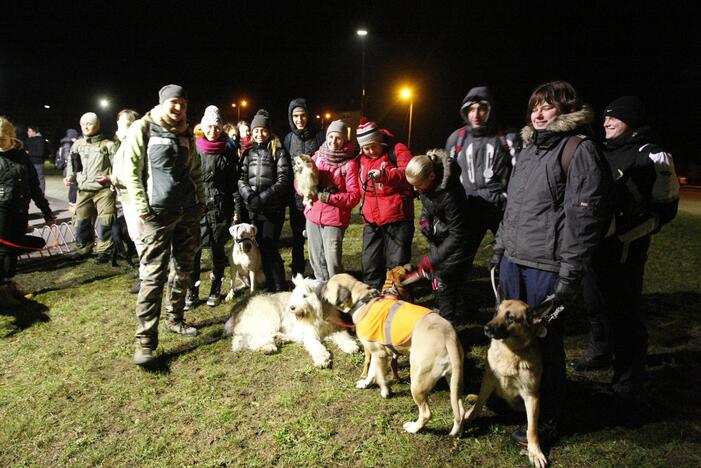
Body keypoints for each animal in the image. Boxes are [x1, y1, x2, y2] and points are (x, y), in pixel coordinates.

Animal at [221, 272, 358, 368]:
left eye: (304, 296)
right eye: (295, 295)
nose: (292, 308)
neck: (319, 315)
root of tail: (242, 305)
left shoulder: (334, 327)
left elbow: (343, 336)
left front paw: (351, 346)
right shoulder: (309, 334)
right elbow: (315, 346)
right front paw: (322, 359)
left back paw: (280, 339)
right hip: (269, 317)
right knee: (253, 339)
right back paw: (269, 347)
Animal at [322, 272, 464, 436]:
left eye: (327, 286)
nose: (320, 286)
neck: (362, 301)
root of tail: (447, 335)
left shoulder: (379, 354)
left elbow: (380, 377)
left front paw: (385, 391)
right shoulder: (375, 354)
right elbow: (372, 372)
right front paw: (366, 384)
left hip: (418, 383)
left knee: (426, 413)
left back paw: (413, 428)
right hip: (454, 381)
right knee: (460, 410)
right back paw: (457, 431)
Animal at [464, 300, 552, 468]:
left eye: (510, 317)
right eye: (496, 312)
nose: (486, 328)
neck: (510, 352)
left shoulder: (531, 396)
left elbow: (532, 429)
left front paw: (535, 452)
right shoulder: (488, 381)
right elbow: (478, 404)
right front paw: (466, 418)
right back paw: (472, 398)